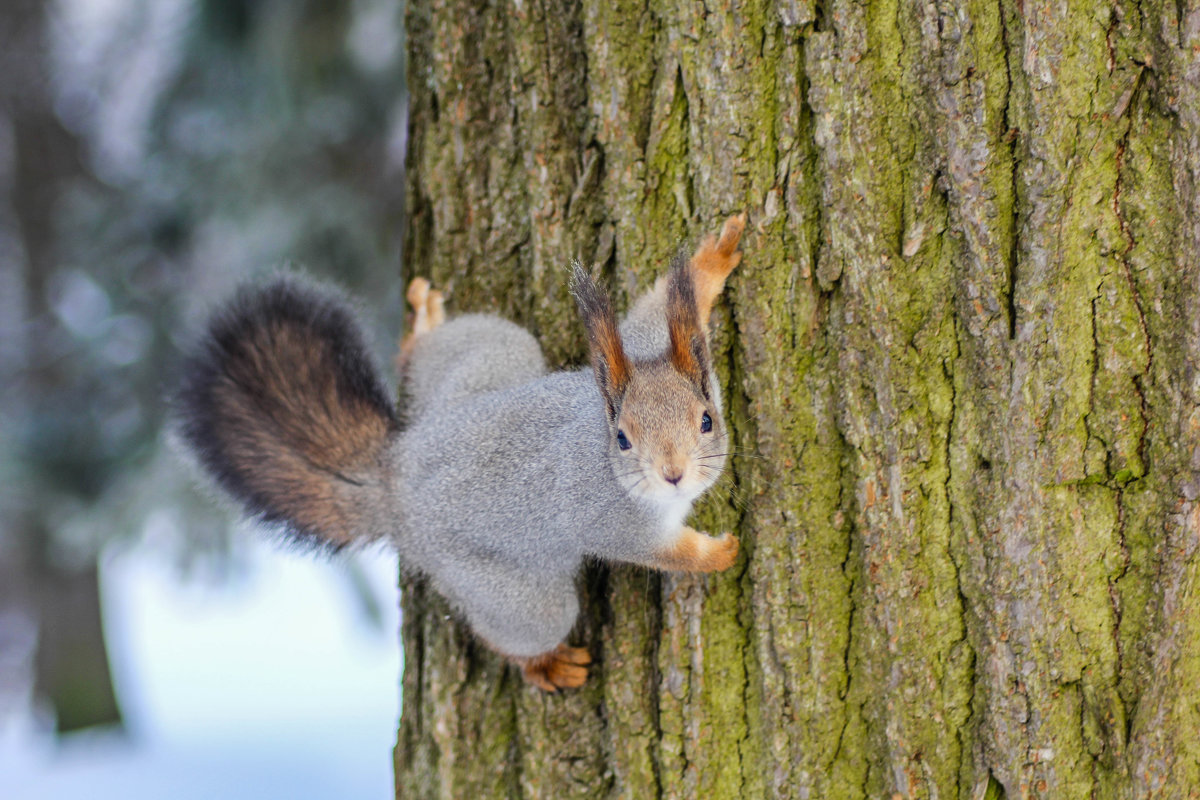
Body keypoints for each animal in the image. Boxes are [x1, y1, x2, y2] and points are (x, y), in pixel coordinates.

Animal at [175, 215, 744, 690]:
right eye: (623, 438)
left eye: (706, 420)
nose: (673, 474)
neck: (600, 440)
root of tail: (394, 477)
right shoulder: (615, 521)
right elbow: (663, 551)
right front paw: (718, 554)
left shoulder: (644, 351)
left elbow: (644, 321)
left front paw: (709, 264)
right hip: (502, 588)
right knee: (524, 627)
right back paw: (543, 664)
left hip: (488, 354)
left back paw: (422, 329)